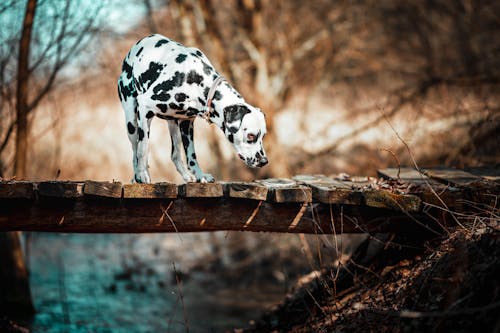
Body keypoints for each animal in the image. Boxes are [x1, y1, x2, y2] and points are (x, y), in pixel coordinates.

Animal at [117, 33, 268, 183]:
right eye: (250, 136)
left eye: (263, 136)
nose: (264, 161)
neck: (196, 78)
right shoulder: (145, 106)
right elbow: (142, 149)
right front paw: (142, 174)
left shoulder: (187, 123)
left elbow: (191, 155)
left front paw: (200, 175)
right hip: (133, 123)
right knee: (135, 150)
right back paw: (138, 175)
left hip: (173, 125)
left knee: (175, 155)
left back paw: (186, 175)